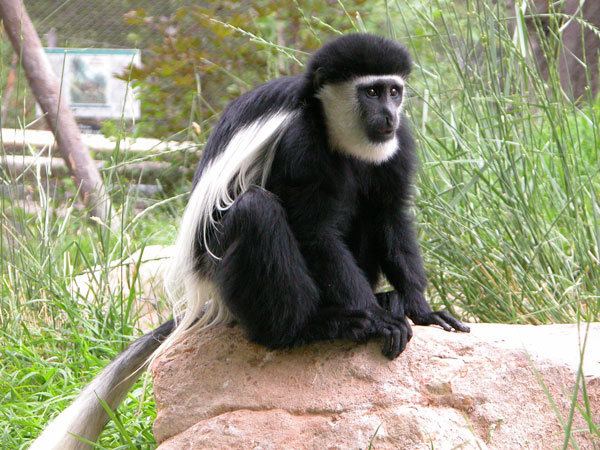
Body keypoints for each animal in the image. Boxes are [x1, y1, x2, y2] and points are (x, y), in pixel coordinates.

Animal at [30, 33, 468, 448]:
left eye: (394, 90)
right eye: (371, 92)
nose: (389, 114)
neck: (329, 124)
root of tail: (207, 300)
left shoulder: (399, 143)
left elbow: (389, 214)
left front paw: (420, 308)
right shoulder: (300, 142)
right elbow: (315, 230)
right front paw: (378, 322)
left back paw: (383, 299)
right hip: (230, 278)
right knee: (256, 212)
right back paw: (317, 325)